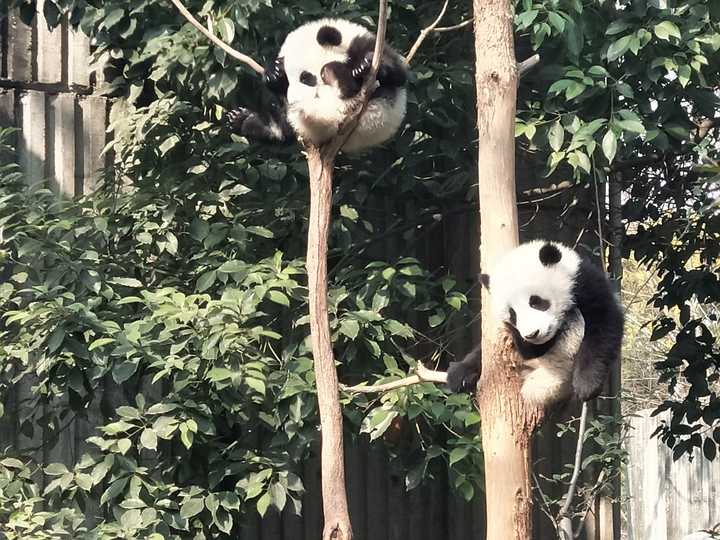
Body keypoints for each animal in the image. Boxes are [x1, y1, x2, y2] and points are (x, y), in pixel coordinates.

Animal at [228, 17, 408, 152]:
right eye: (288, 81)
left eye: (305, 78)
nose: (293, 99)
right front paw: (275, 73)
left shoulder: (367, 43)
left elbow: (398, 75)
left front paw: (363, 65)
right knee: (282, 129)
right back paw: (243, 119)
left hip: (376, 113)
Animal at [444, 238, 624, 408]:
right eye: (513, 314)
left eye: (536, 302)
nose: (532, 334)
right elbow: (522, 349)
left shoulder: (584, 282)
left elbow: (604, 323)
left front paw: (586, 384)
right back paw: (461, 374)